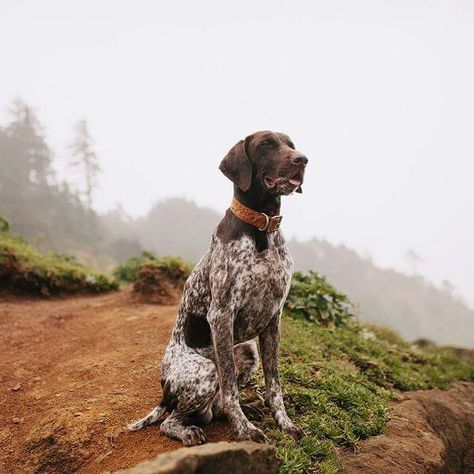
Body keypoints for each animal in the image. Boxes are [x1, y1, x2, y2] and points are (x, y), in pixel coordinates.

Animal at [129, 131, 308, 446]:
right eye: (267, 144)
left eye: (291, 145)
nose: (303, 160)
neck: (261, 229)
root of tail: (165, 388)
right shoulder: (222, 314)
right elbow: (230, 387)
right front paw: (244, 429)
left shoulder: (274, 318)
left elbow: (274, 384)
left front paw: (285, 423)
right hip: (204, 371)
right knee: (173, 419)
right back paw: (189, 430)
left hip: (247, 350)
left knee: (214, 405)